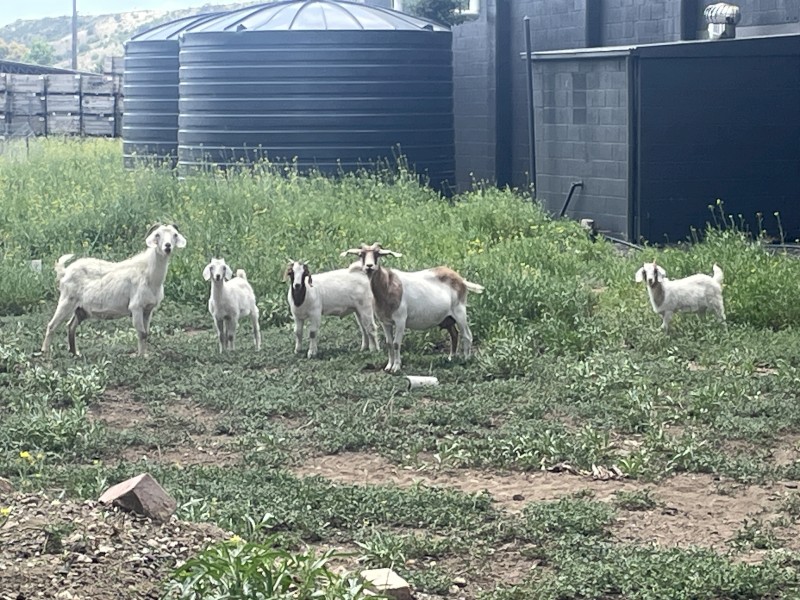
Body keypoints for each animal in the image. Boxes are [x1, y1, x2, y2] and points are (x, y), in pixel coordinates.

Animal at [41, 224, 186, 356]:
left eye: (175, 235)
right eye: (157, 235)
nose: (167, 246)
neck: (148, 274)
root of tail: (65, 271)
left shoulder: (148, 309)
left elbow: (146, 333)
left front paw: (145, 356)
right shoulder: (136, 307)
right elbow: (142, 333)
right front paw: (140, 358)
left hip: (81, 309)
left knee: (70, 326)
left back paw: (74, 353)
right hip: (67, 301)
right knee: (52, 325)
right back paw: (45, 352)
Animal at [341, 243, 484, 373]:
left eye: (377, 254)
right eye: (361, 254)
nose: (369, 266)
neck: (388, 285)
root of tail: (461, 280)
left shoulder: (400, 320)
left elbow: (396, 343)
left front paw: (396, 367)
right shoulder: (385, 322)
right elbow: (389, 343)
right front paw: (388, 366)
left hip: (460, 312)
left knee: (467, 335)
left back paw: (466, 359)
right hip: (447, 318)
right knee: (454, 334)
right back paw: (451, 357)